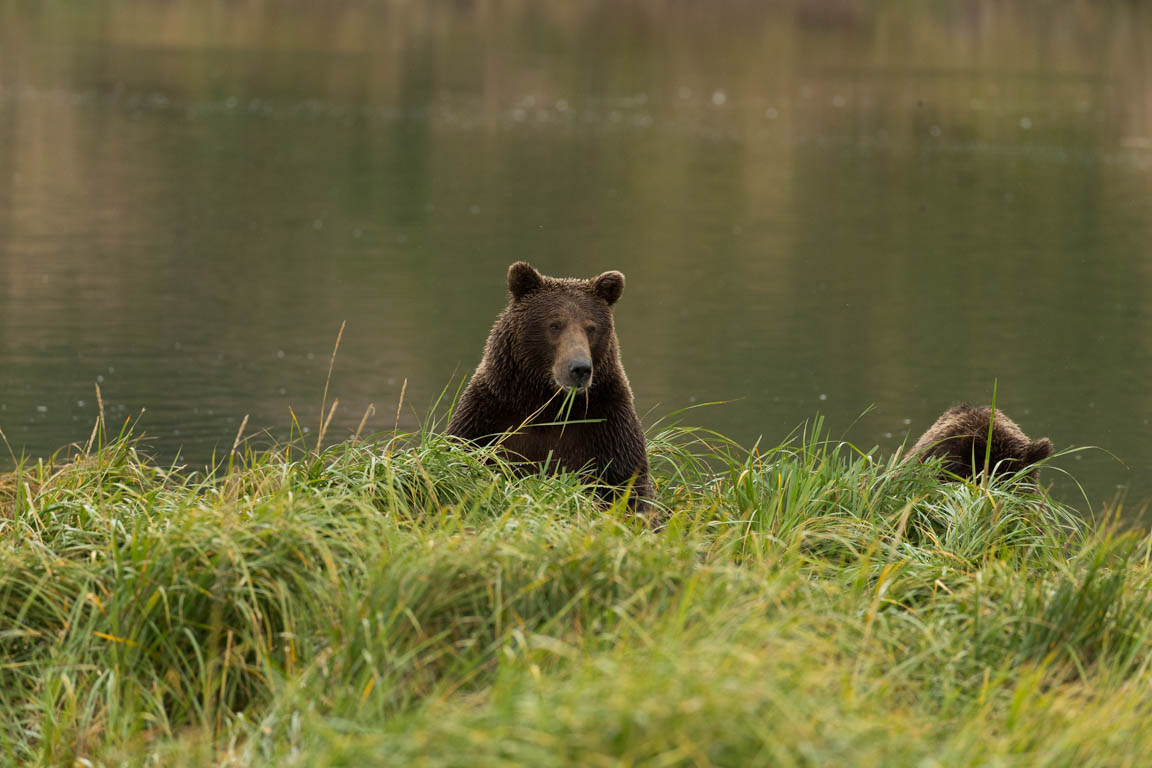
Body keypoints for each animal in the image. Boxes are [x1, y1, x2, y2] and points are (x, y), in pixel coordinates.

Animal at [446, 264, 654, 511]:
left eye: (591, 328)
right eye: (555, 325)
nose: (580, 368)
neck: (547, 403)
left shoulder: (608, 422)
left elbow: (628, 484)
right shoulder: (488, 416)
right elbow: (463, 454)